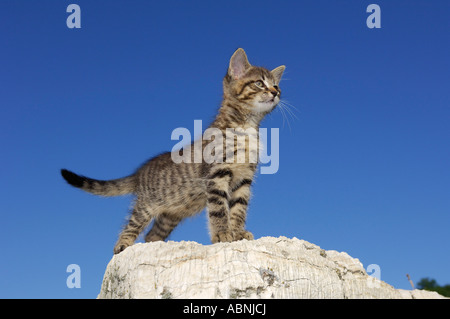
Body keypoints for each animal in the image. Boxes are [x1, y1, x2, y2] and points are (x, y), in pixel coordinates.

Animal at [60, 48, 284, 255]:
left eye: (276, 85)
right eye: (259, 83)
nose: (275, 93)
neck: (246, 127)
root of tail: (140, 172)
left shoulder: (244, 178)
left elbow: (239, 208)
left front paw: (238, 232)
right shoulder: (217, 174)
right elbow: (219, 209)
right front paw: (222, 233)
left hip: (170, 215)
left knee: (152, 234)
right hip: (147, 205)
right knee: (131, 224)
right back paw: (122, 244)